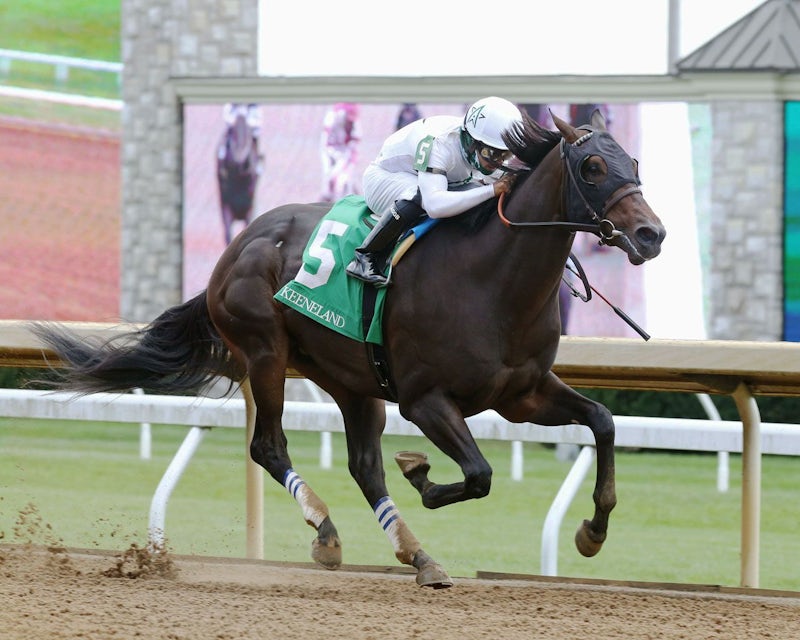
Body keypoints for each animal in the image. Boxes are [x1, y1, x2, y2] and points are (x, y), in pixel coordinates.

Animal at [217, 109, 261, 244]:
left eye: (250, 136)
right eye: (232, 133)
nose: (243, 163)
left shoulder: (250, 208)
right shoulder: (225, 205)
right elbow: (228, 235)